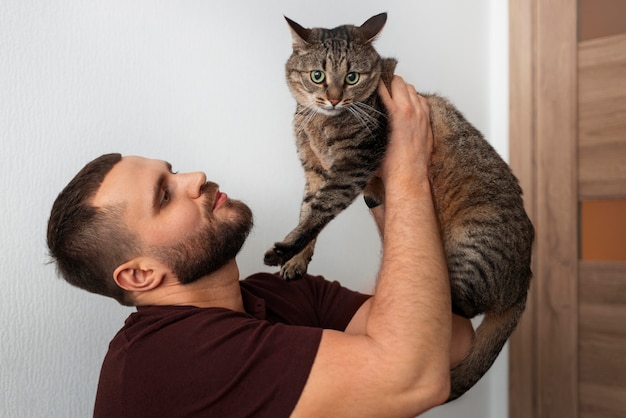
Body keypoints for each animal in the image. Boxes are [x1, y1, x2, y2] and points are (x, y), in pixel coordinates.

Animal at [260, 13, 532, 402]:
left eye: (352, 77)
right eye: (317, 75)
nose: (333, 99)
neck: (317, 123)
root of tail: (525, 280)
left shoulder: (351, 168)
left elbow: (318, 214)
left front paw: (282, 251)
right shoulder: (314, 170)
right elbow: (307, 214)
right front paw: (296, 260)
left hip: (471, 243)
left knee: (458, 307)